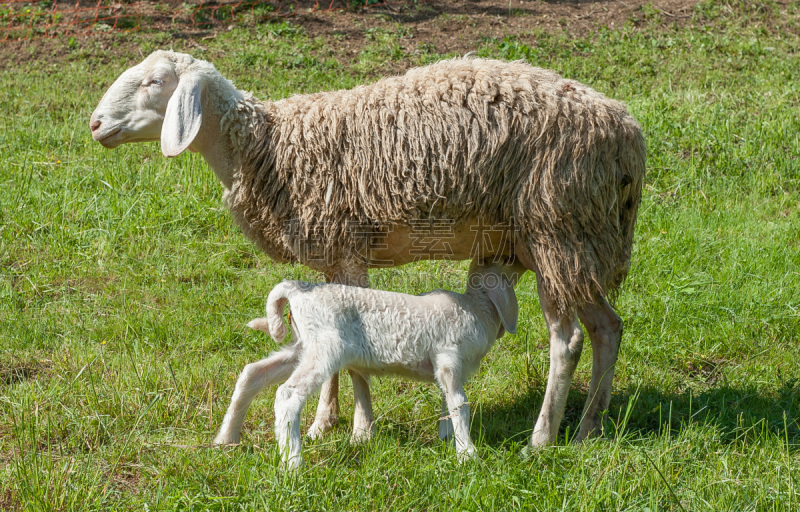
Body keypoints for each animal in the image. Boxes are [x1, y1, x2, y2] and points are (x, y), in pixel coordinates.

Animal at [212, 260, 524, 468]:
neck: (476, 310)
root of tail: (298, 291)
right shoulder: (448, 357)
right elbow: (460, 404)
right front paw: (467, 455)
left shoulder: (445, 369)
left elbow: (447, 403)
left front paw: (447, 439)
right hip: (325, 347)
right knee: (288, 395)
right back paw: (293, 464)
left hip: (303, 346)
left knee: (252, 374)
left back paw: (226, 439)